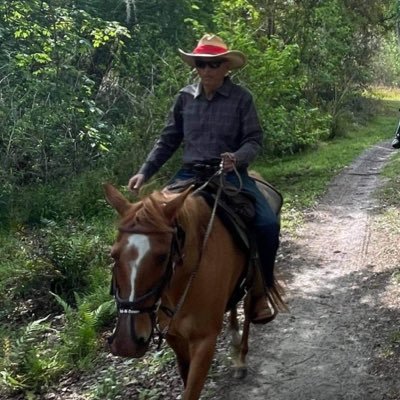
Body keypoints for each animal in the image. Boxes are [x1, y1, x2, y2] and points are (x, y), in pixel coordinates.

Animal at [103, 179, 284, 400]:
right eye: (114, 255)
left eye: (162, 257)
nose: (125, 343)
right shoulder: (174, 337)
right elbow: (184, 376)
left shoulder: (204, 341)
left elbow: (191, 391)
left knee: (249, 310)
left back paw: (241, 357)